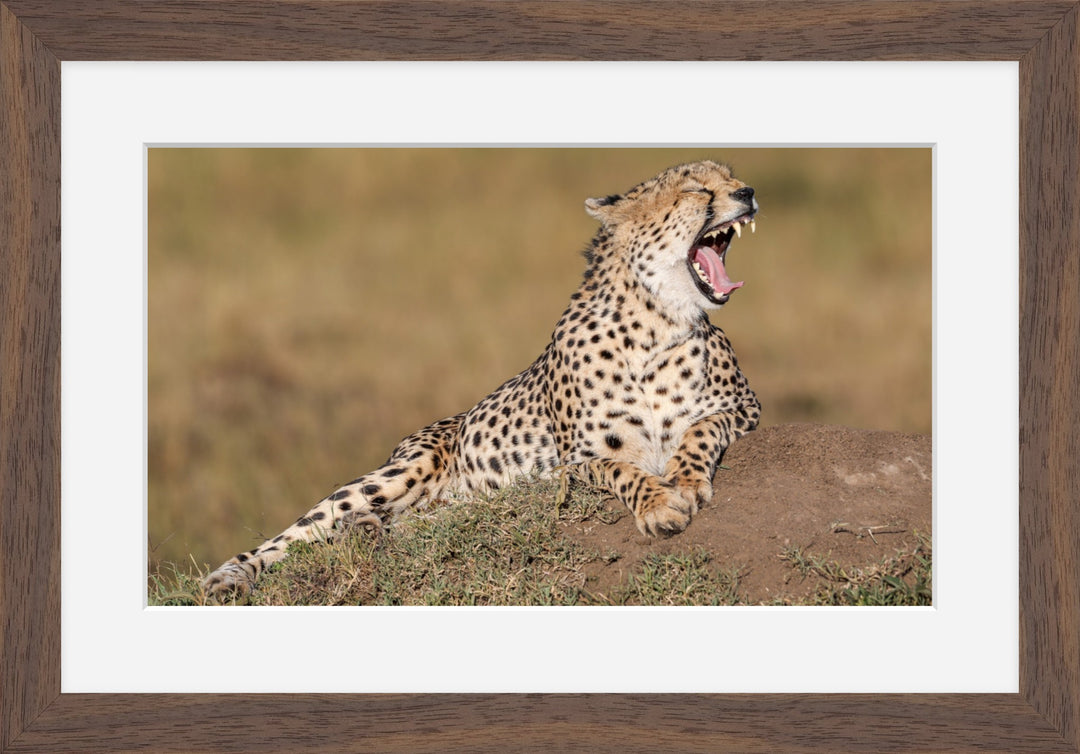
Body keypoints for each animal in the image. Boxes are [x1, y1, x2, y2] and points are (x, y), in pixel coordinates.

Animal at [202, 160, 762, 599]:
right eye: (695, 188)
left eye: (731, 176)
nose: (748, 192)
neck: (655, 322)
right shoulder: (574, 462)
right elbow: (620, 469)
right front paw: (660, 504)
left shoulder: (745, 410)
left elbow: (700, 429)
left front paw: (684, 479)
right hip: (401, 470)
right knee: (298, 531)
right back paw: (230, 576)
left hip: (455, 504)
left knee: (411, 523)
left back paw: (367, 530)